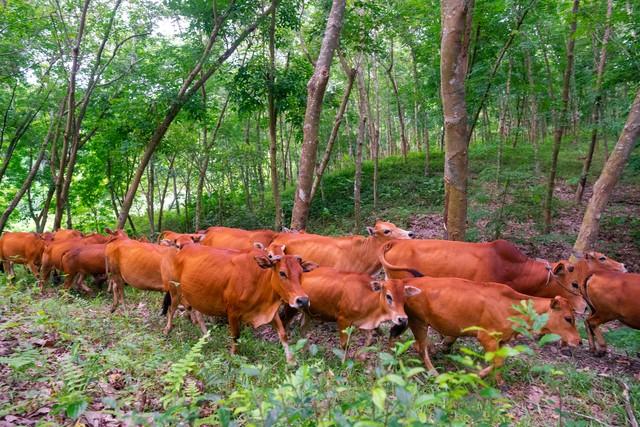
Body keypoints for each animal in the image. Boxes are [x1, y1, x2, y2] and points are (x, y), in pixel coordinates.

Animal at [161, 244, 316, 364]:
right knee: (172, 309)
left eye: (301, 273)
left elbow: (283, 334)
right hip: (175, 290)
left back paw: (206, 336)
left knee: (197, 313)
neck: (260, 279)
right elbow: (236, 336)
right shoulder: (232, 312)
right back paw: (167, 329)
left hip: (194, 295)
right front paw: (233, 355)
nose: (303, 300)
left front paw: (291, 360)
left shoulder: (270, 312)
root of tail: (182, 250)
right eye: (282, 273)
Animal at [282, 270, 422, 356]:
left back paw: (306, 351)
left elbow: (369, 340)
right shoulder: (343, 319)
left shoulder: (362, 323)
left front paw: (360, 357)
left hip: (308, 313)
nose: (402, 319)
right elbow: (345, 344)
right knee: (284, 323)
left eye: (404, 299)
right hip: (291, 308)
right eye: (389, 296)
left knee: (302, 328)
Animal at [388, 280, 584, 380]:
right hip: (418, 321)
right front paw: (477, 374)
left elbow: (501, 361)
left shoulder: (503, 340)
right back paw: (433, 372)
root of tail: (406, 283)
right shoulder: (486, 337)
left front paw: (498, 381)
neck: (512, 308)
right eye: (568, 318)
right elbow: (497, 361)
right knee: (420, 347)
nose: (579, 341)